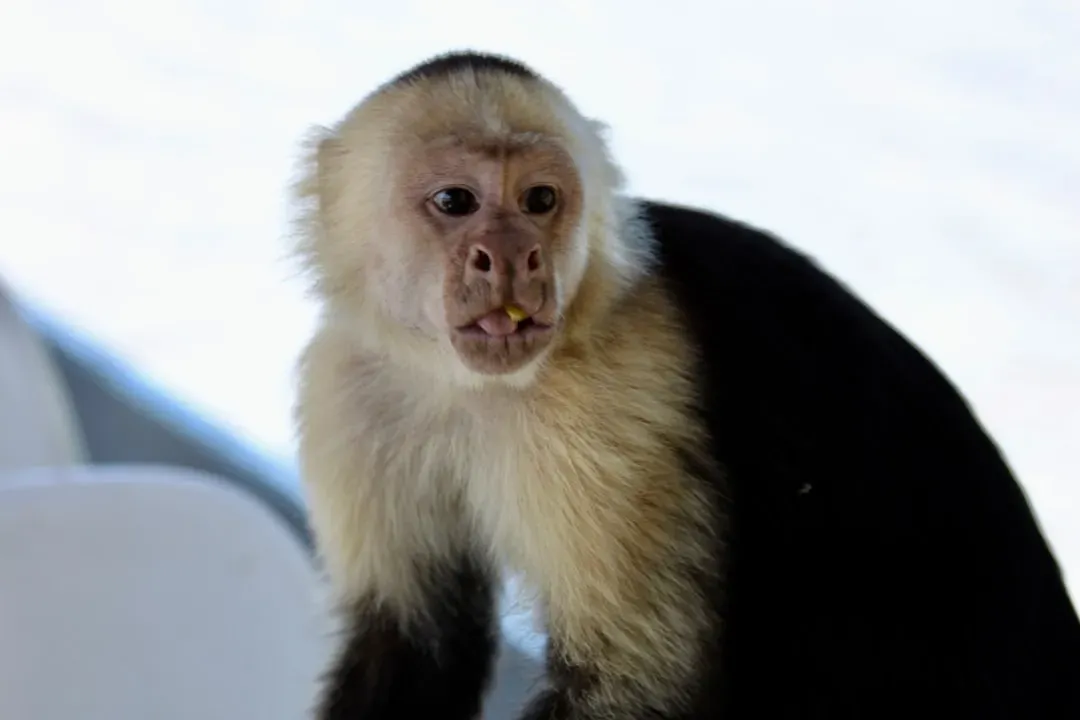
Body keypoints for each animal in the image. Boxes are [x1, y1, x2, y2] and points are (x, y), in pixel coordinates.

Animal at [290, 51, 1080, 719]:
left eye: (540, 200)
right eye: (455, 201)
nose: (514, 256)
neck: (461, 384)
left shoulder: (610, 398)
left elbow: (635, 680)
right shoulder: (348, 385)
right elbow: (415, 637)